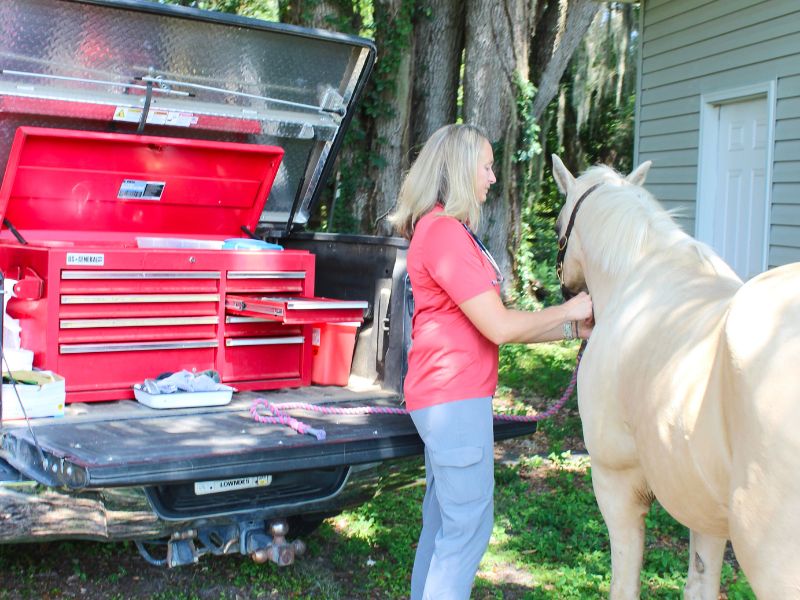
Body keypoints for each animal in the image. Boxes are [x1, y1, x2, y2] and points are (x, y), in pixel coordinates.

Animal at [552, 156, 800, 600]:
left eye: (558, 225)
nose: (567, 292)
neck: (635, 275)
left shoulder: (615, 482)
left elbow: (625, 582)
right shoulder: (704, 504)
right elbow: (700, 582)